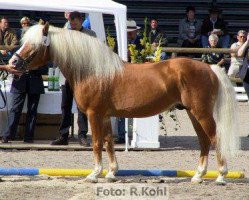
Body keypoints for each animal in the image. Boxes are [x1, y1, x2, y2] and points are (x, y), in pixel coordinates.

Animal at [7, 23, 239, 184]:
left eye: (34, 45)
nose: (13, 62)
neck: (93, 72)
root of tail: (209, 68)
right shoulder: (105, 115)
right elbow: (109, 142)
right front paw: (111, 173)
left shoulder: (94, 114)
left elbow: (96, 143)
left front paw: (94, 174)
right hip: (192, 113)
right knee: (204, 141)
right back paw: (198, 176)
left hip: (201, 113)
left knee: (214, 138)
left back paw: (221, 176)